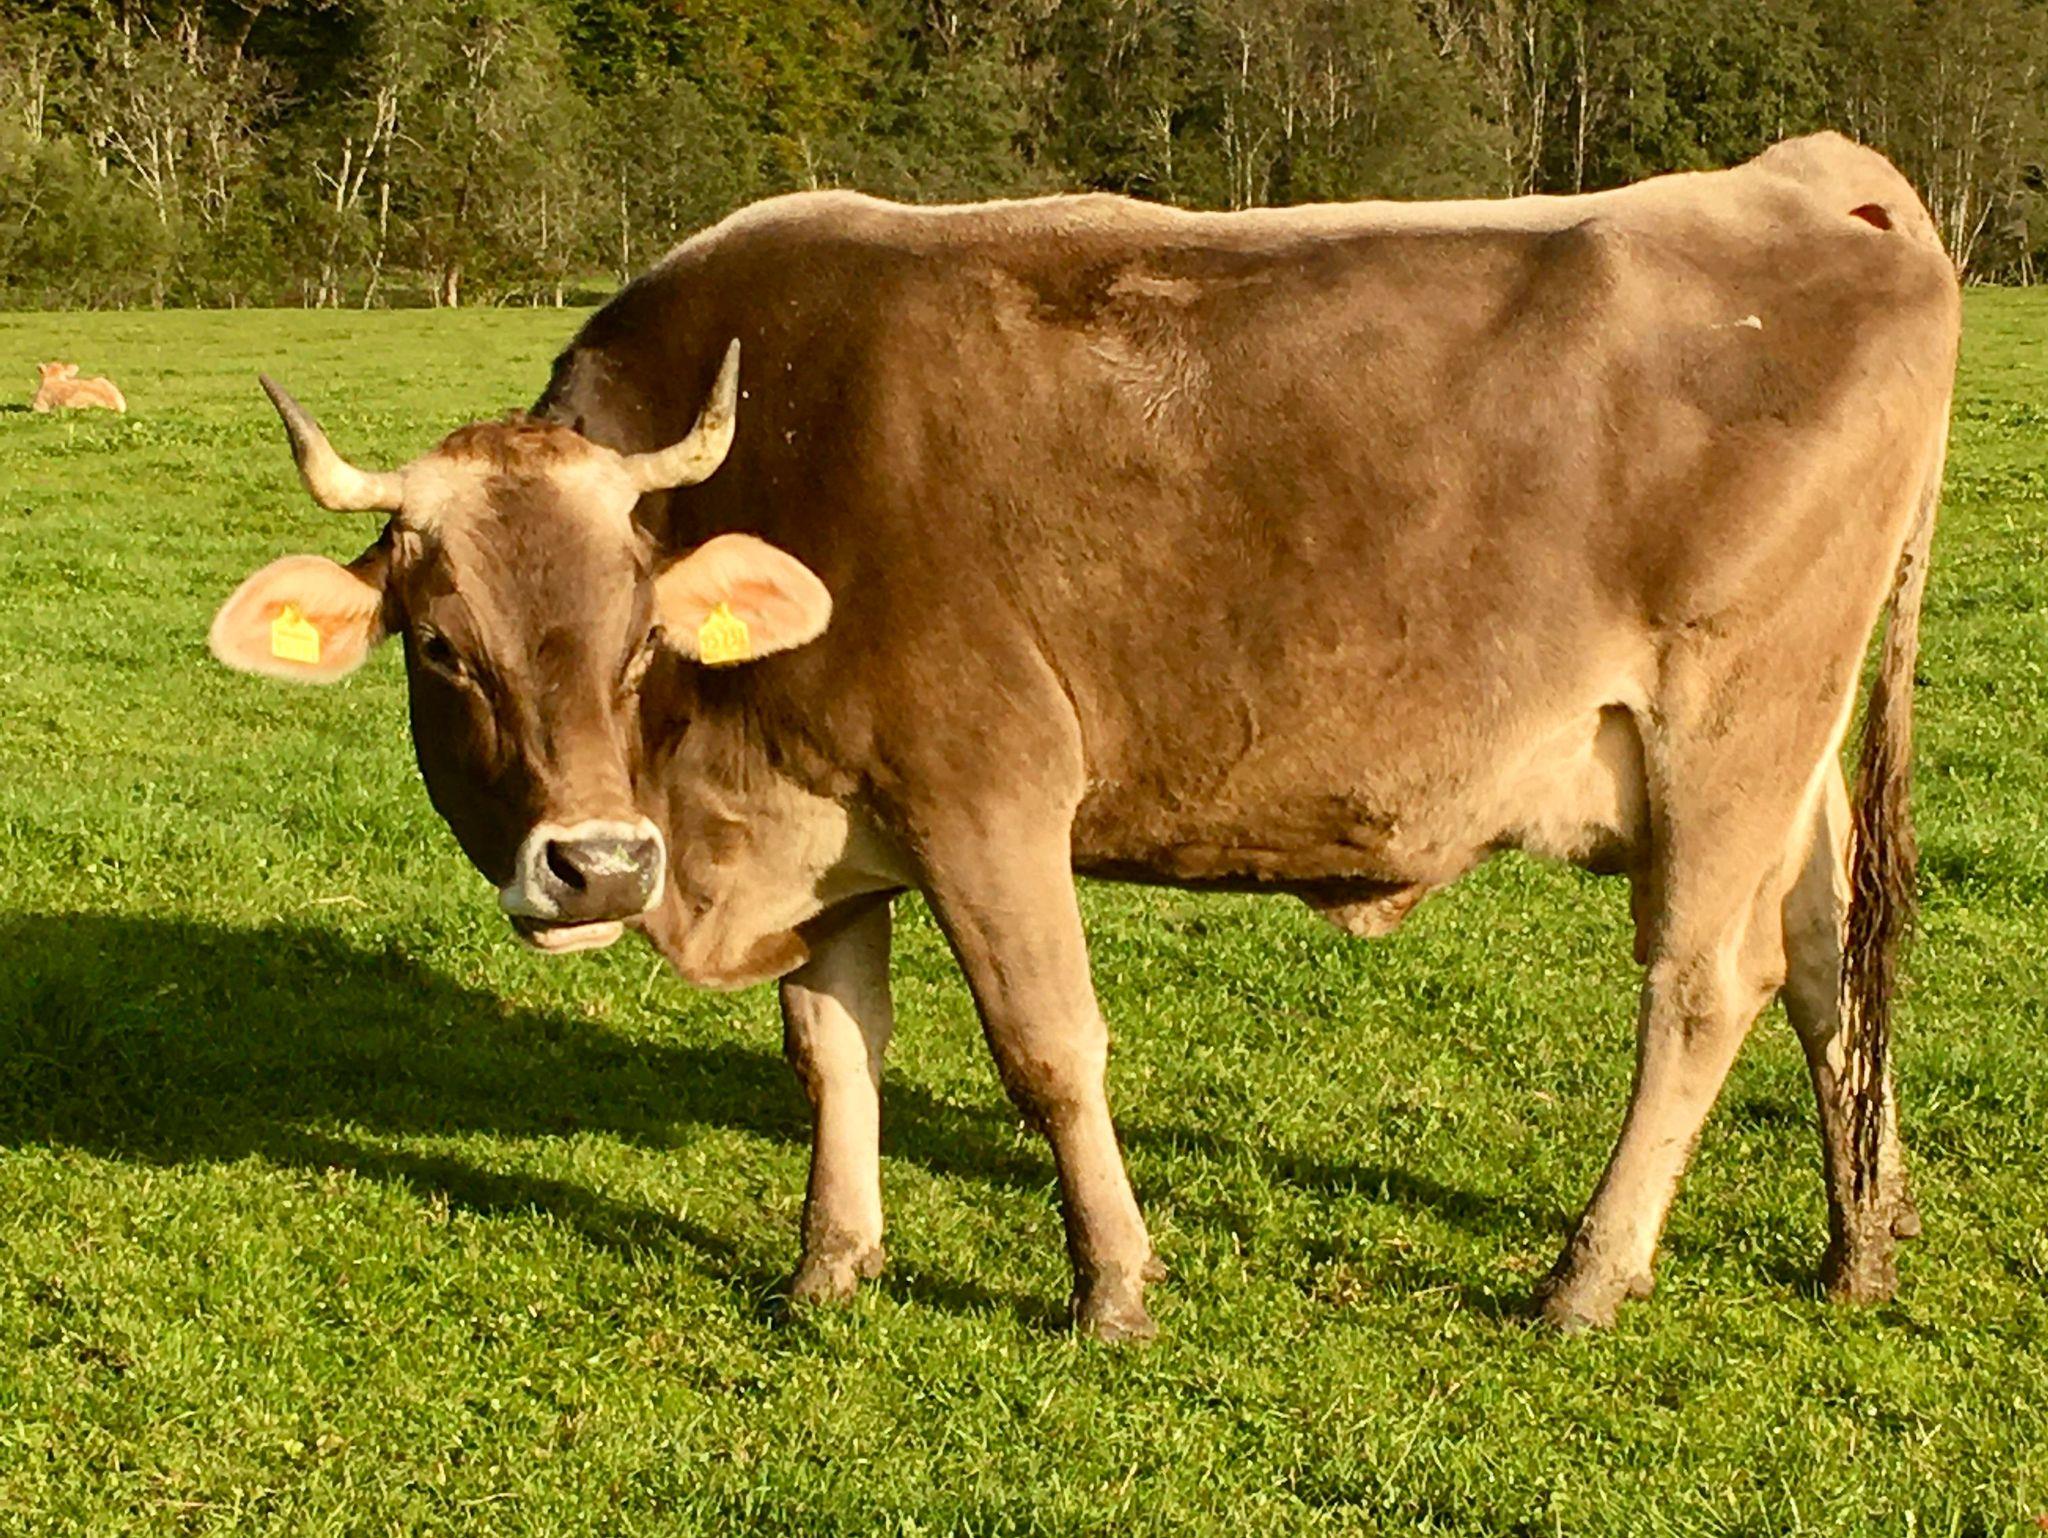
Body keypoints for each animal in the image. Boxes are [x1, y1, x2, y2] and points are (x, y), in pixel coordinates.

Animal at [209, 132, 1958, 1339]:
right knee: (1827, 957)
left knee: (1704, 984)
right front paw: (830, 1262)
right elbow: (832, 1044)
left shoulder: (987, 790)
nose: (596, 864)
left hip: (1729, 714)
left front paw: (1112, 1283)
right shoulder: (829, 823)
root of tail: (1815, 181)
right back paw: (1860, 1240)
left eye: (641, 636)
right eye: (444, 646)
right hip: (1788, 747)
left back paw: (1587, 1276)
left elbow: (1048, 1045)